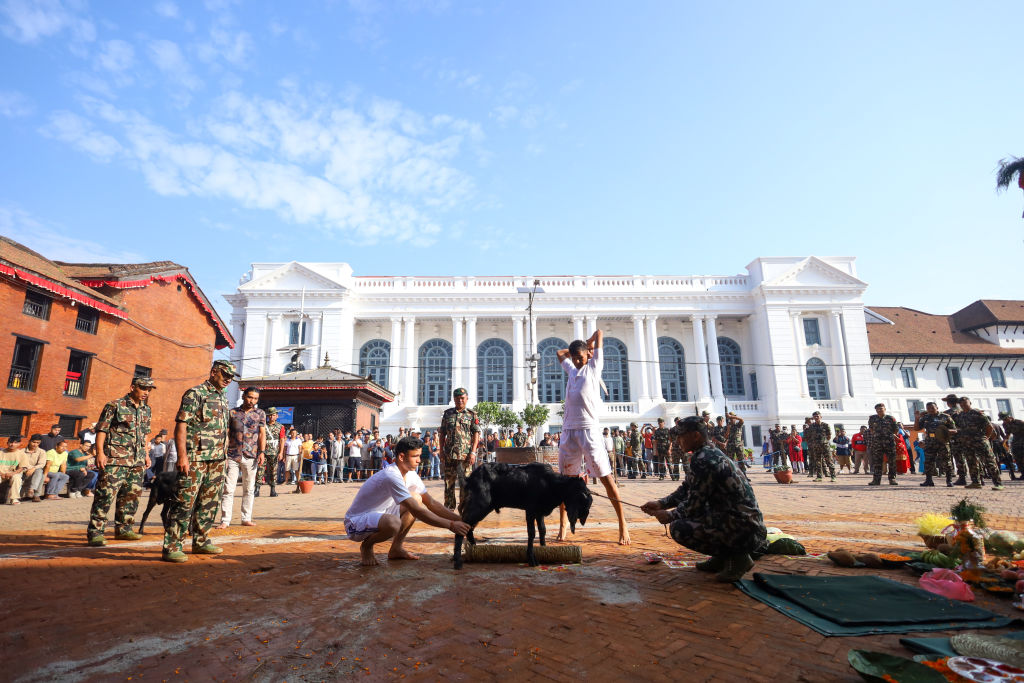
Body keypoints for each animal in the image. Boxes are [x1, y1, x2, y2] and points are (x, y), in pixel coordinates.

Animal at [454, 462, 598, 569]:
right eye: (583, 500)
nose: (583, 519)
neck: (550, 483)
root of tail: (469, 478)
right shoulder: (530, 511)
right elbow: (532, 533)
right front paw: (531, 559)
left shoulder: (539, 512)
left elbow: (542, 530)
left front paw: (544, 550)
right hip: (480, 505)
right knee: (463, 527)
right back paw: (457, 562)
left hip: (483, 508)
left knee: (468, 527)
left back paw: (473, 549)